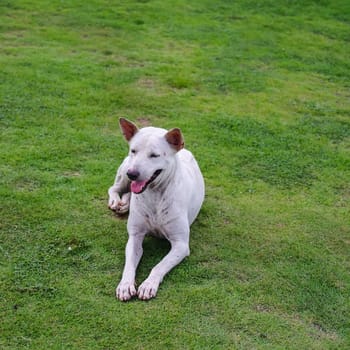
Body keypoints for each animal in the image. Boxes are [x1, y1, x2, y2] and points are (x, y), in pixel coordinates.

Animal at [108, 118, 204, 300]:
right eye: (134, 150)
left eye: (154, 155)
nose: (133, 174)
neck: (155, 195)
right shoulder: (135, 236)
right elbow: (129, 264)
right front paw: (125, 285)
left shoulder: (181, 245)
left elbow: (160, 265)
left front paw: (148, 284)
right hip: (124, 170)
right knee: (114, 188)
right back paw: (117, 201)